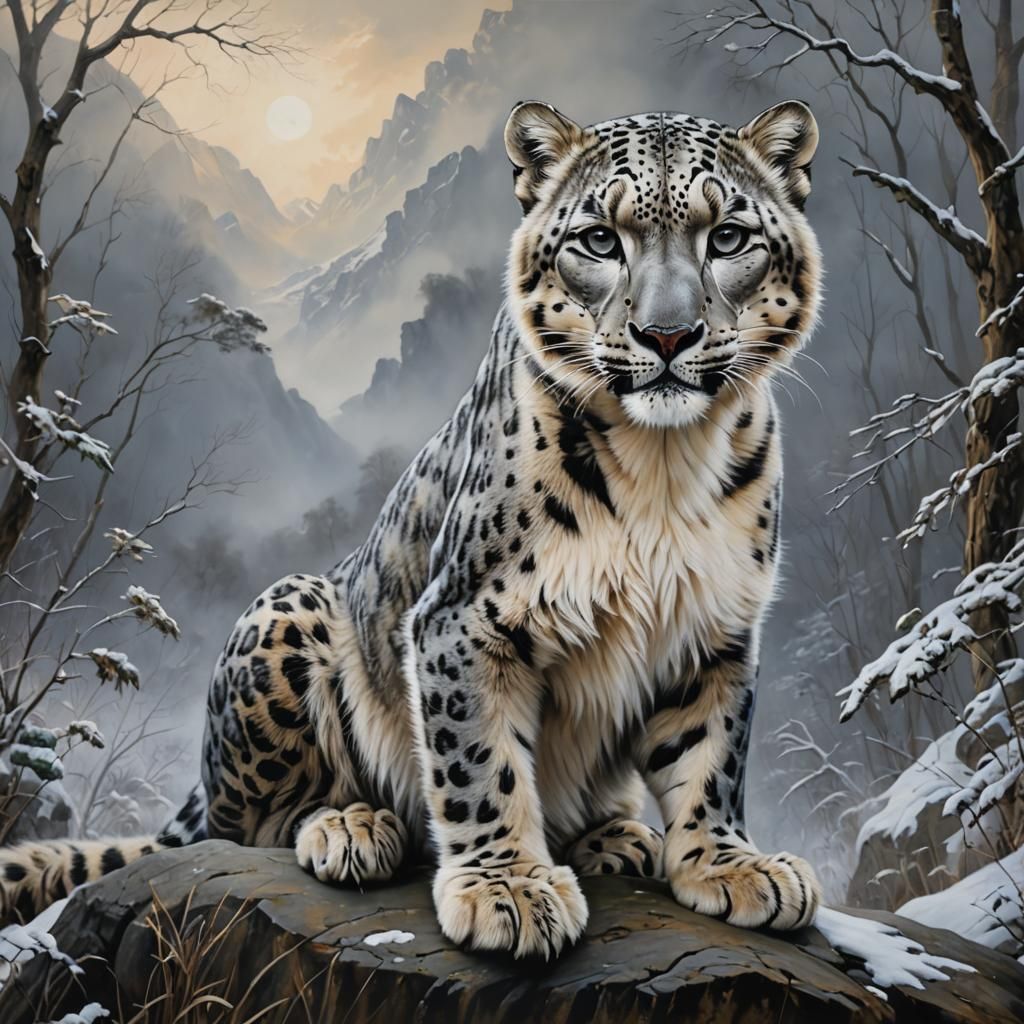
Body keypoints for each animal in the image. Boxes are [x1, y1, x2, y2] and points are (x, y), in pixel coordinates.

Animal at [1, 99, 823, 959]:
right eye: (601, 240)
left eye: (727, 237)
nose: (668, 335)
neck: (664, 465)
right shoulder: (467, 616)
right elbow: (480, 759)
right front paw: (507, 890)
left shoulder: (717, 625)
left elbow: (711, 753)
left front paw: (728, 865)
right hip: (288, 617)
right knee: (245, 825)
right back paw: (353, 827)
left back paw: (615, 834)